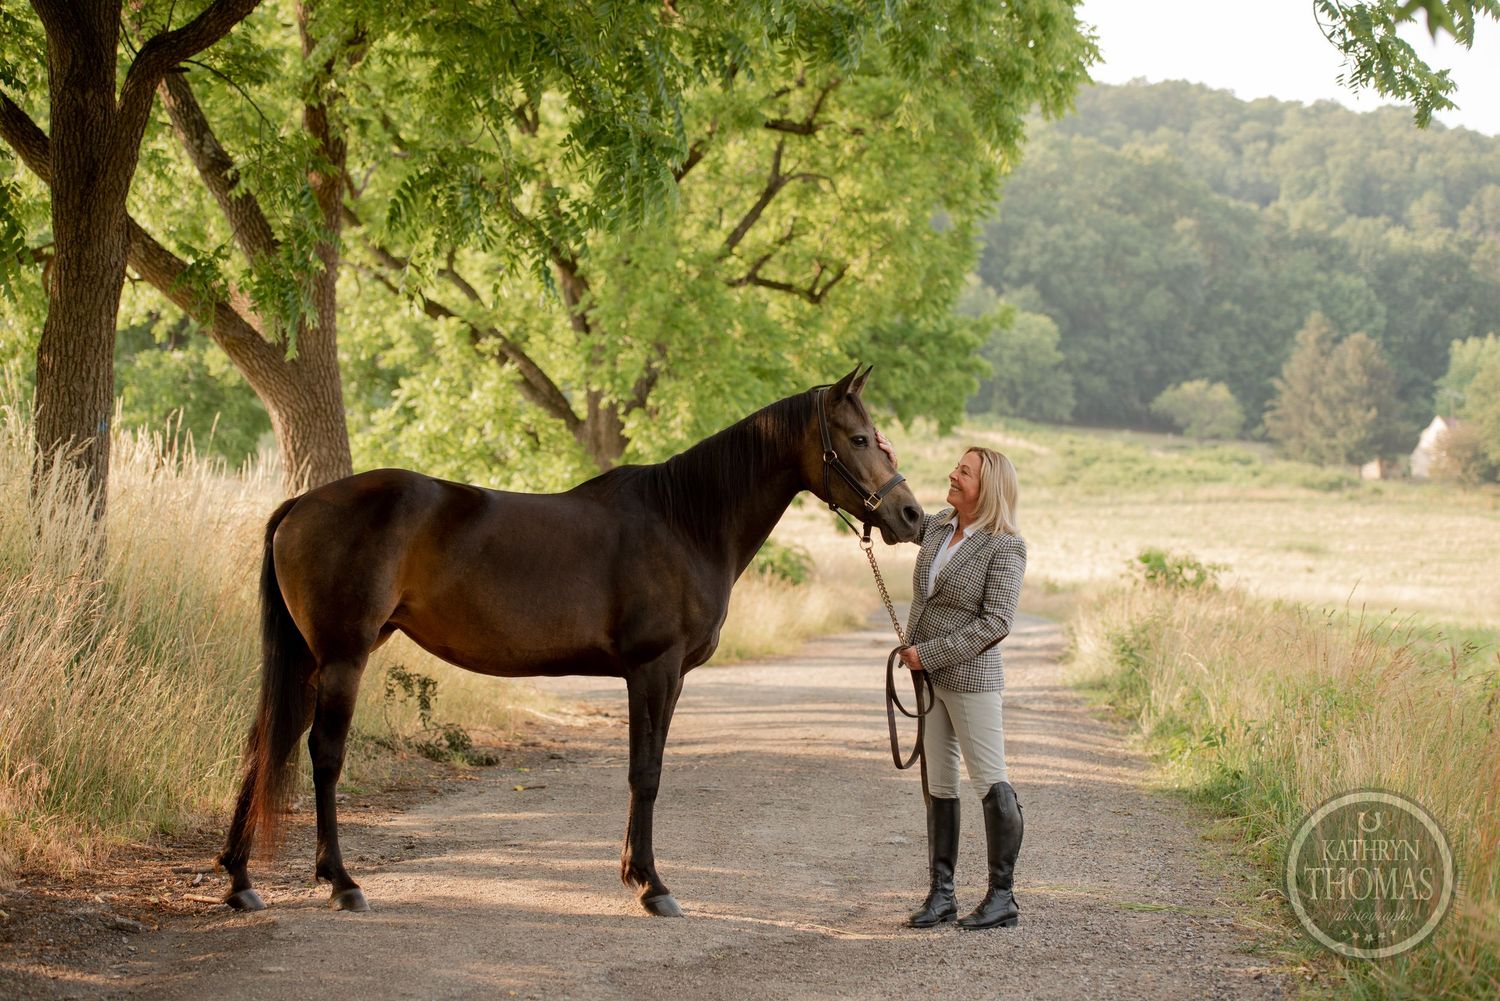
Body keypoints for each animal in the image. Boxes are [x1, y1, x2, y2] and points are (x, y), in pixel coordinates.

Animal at [217, 365, 924, 917]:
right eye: (860, 439)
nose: (911, 516)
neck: (685, 521)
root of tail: (301, 504)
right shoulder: (654, 669)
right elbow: (646, 773)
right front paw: (653, 887)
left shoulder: (668, 678)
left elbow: (648, 767)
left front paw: (635, 873)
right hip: (342, 656)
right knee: (322, 753)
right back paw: (341, 883)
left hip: (309, 659)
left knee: (266, 739)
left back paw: (240, 880)